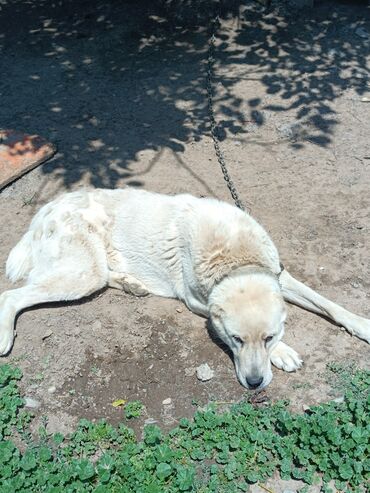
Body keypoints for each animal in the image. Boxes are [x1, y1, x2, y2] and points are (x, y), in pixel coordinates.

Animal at [0, 188, 370, 388]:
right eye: (236, 340)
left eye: (268, 336)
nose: (253, 384)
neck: (234, 257)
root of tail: (44, 211)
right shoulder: (195, 302)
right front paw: (284, 353)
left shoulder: (281, 275)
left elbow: (328, 303)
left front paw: (362, 324)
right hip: (81, 273)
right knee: (11, 294)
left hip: (90, 271)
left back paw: (132, 284)